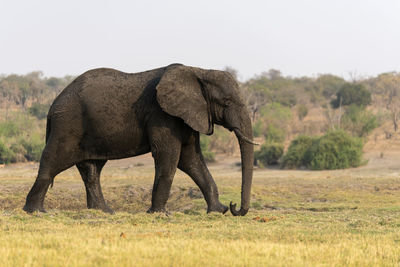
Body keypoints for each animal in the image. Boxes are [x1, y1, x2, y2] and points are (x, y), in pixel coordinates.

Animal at [24, 63, 256, 217]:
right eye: (226, 102)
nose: (234, 207)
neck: (199, 71)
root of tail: (53, 105)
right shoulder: (162, 115)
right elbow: (169, 156)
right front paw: (159, 214)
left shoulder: (187, 115)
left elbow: (191, 160)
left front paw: (217, 211)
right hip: (67, 124)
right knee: (53, 162)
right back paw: (35, 212)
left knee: (92, 170)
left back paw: (105, 212)